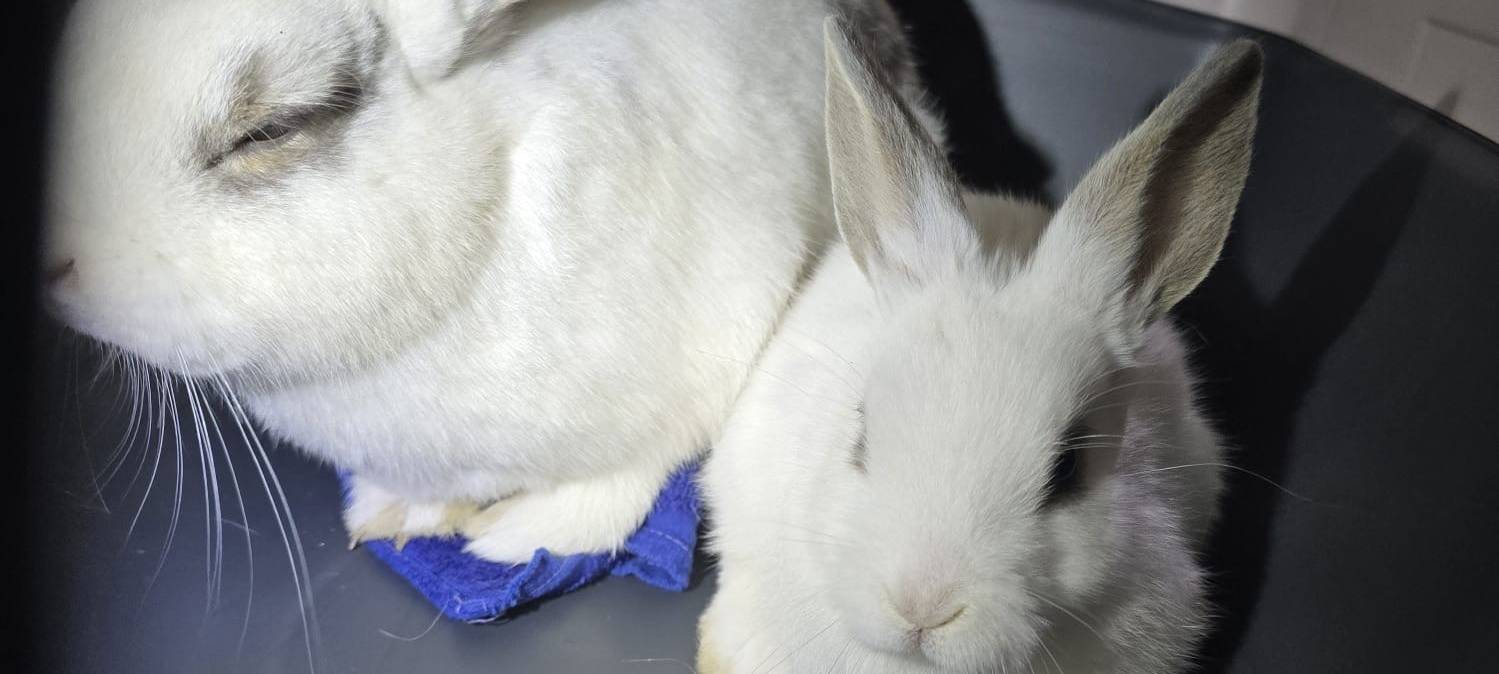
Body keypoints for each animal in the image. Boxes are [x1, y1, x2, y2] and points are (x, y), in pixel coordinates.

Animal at [40, 0, 937, 562]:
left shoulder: (716, 336)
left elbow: (627, 480)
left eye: (269, 129)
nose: (54, 262)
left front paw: (518, 537)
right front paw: (396, 517)